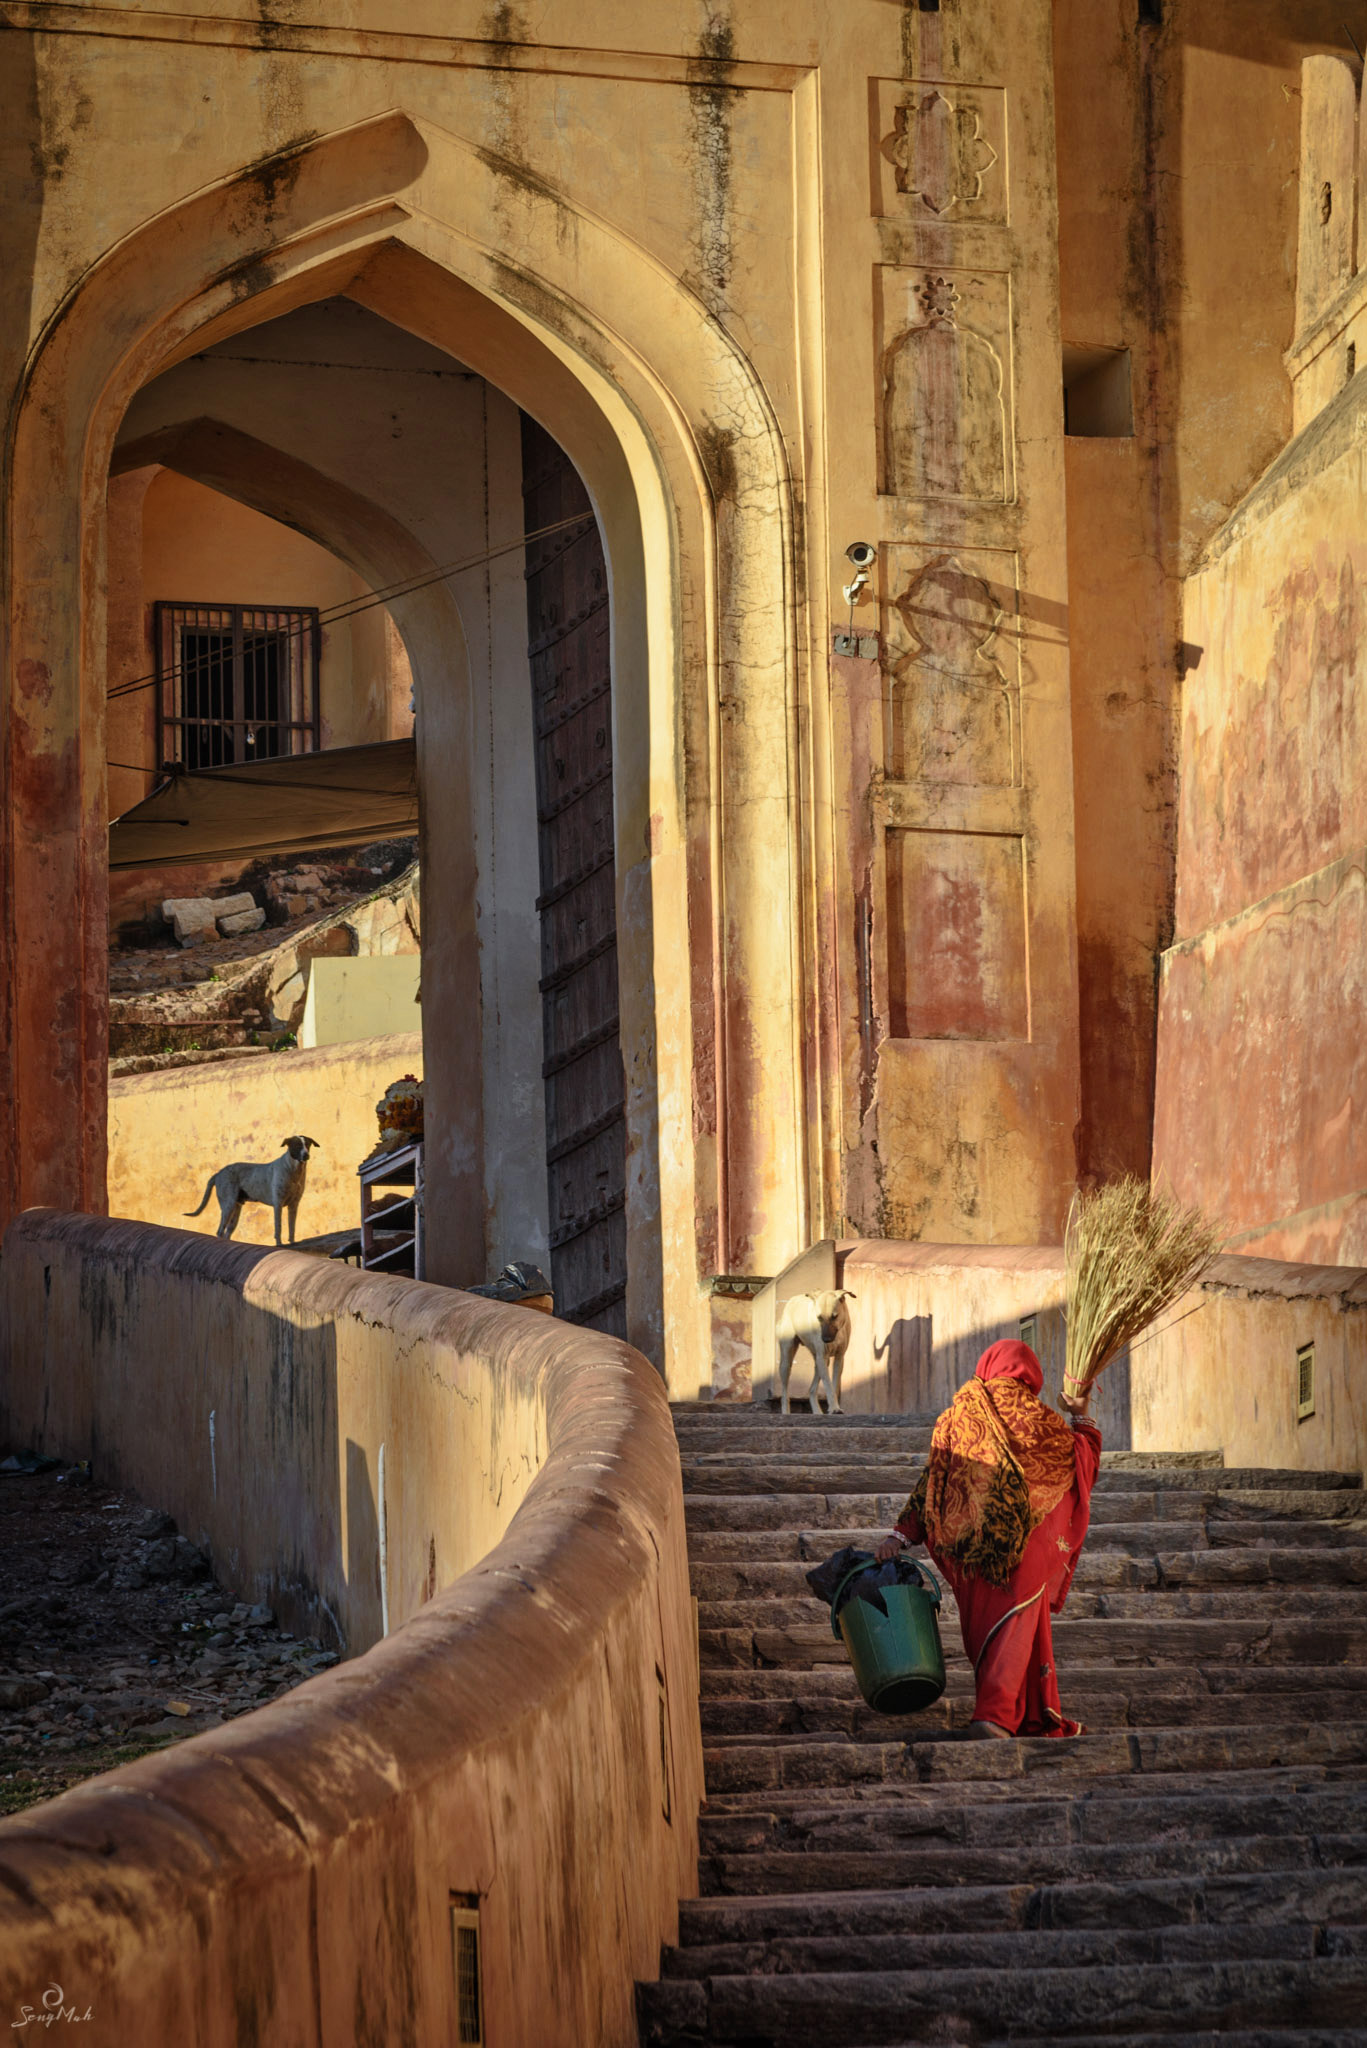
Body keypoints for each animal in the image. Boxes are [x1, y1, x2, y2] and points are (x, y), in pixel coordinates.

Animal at [184, 1138, 321, 1245]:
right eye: (297, 1145)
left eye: (307, 1145)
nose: (306, 1155)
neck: (294, 1170)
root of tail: (218, 1173)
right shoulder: (278, 1205)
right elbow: (278, 1228)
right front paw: (279, 1244)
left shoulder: (293, 1206)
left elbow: (292, 1228)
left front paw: (292, 1243)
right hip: (228, 1206)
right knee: (220, 1231)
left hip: (235, 1210)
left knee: (227, 1233)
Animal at [778, 1286, 856, 1417]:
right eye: (819, 1317)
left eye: (834, 1316)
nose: (826, 1340)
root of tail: (791, 1300)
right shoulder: (822, 1356)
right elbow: (828, 1385)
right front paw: (834, 1408)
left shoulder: (839, 1358)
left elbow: (833, 1385)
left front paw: (833, 1408)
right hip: (787, 1361)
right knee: (784, 1392)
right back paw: (785, 1412)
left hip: (820, 1362)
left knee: (811, 1389)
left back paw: (817, 1411)